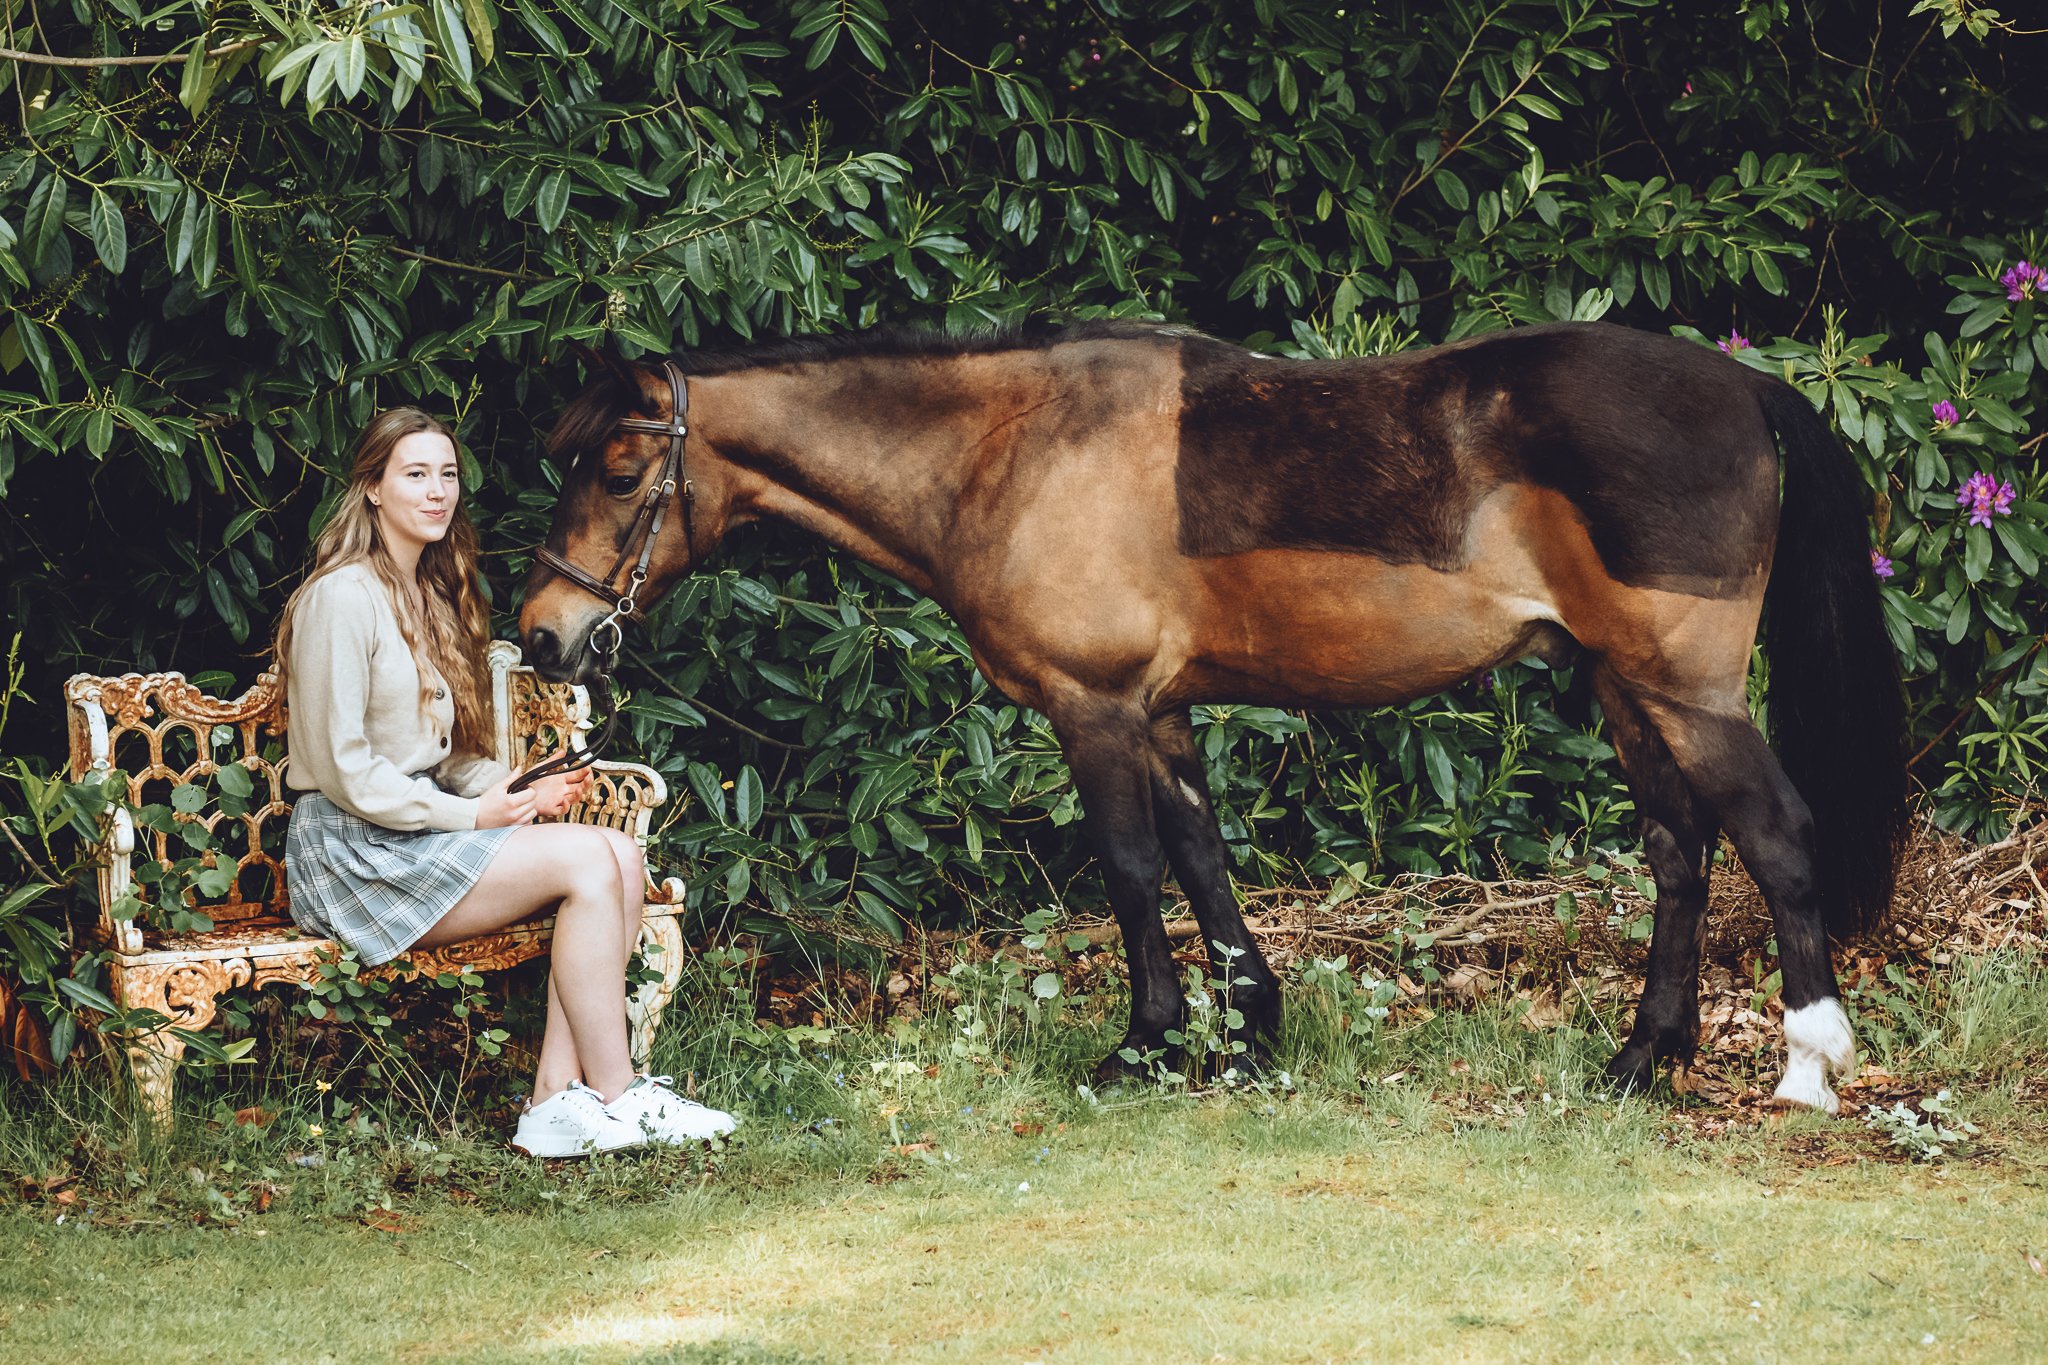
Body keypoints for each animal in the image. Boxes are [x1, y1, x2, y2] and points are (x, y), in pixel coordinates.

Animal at [518, 319, 1907, 1115]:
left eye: (622, 471)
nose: (542, 632)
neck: (1007, 449)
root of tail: (1741, 388)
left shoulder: (1093, 709)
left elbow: (1133, 871)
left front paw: (1142, 1047)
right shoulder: (1164, 715)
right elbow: (1202, 863)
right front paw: (1246, 1038)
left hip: (1684, 689)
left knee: (1774, 835)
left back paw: (1807, 1066)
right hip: (1623, 690)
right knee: (1680, 853)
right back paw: (1641, 1059)